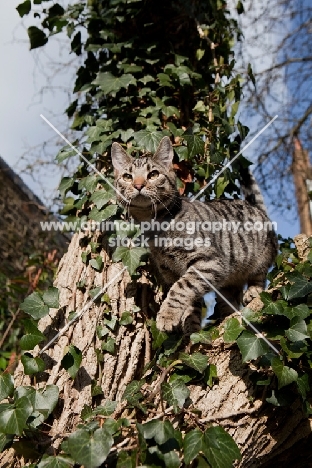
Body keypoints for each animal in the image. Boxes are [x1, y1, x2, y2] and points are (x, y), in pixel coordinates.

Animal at [111, 137, 276, 334]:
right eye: (127, 177)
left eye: (153, 174)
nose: (138, 185)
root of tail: (258, 209)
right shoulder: (171, 272)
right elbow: (191, 301)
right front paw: (191, 329)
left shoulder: (209, 262)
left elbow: (181, 289)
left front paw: (167, 315)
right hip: (228, 282)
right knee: (231, 297)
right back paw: (226, 316)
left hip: (259, 256)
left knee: (260, 276)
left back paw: (253, 292)